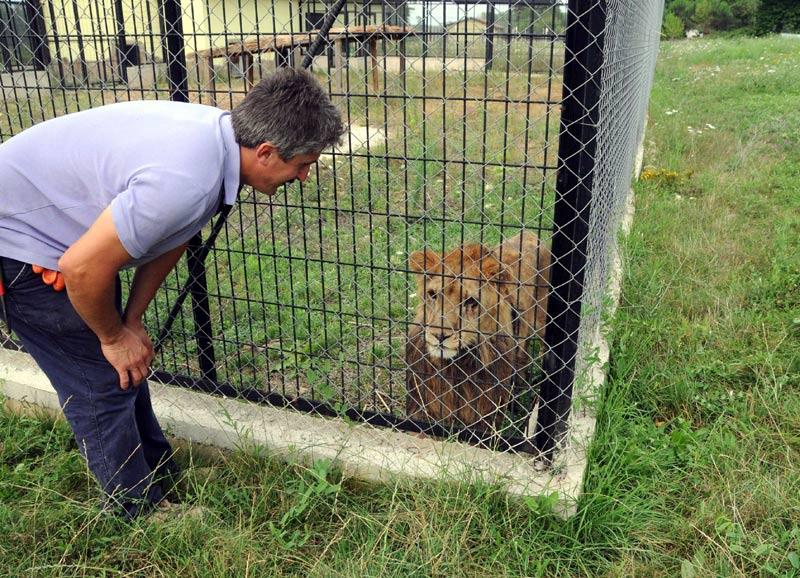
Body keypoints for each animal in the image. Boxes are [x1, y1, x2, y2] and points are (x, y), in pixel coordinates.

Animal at [406, 230, 552, 436]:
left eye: (471, 302)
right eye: (433, 294)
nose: (440, 336)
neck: (457, 365)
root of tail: (530, 233)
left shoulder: (486, 416)